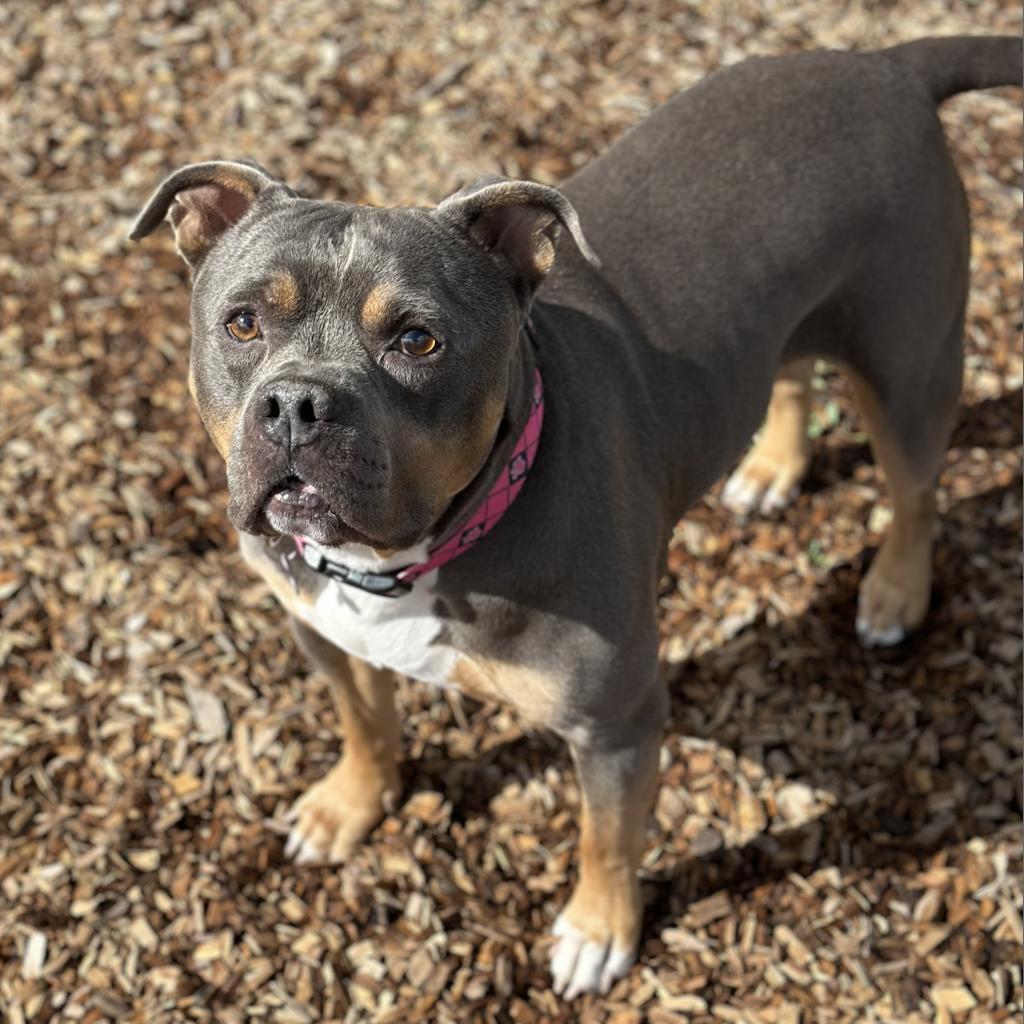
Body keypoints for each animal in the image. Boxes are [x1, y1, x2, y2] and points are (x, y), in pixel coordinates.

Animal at [132, 36, 1019, 995]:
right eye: (242, 323)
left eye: (416, 341)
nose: (297, 403)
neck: (416, 554)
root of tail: (888, 64)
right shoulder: (322, 630)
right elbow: (365, 725)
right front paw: (350, 806)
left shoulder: (615, 721)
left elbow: (608, 836)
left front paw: (599, 931)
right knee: (787, 371)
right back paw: (773, 467)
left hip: (908, 363)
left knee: (916, 488)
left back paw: (895, 591)